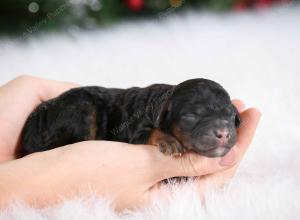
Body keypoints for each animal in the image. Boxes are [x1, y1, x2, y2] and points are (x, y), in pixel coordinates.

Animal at [21, 78, 241, 157]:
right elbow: (150, 132)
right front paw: (168, 141)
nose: (223, 133)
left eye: (231, 116)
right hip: (79, 110)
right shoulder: (134, 130)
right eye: (191, 116)